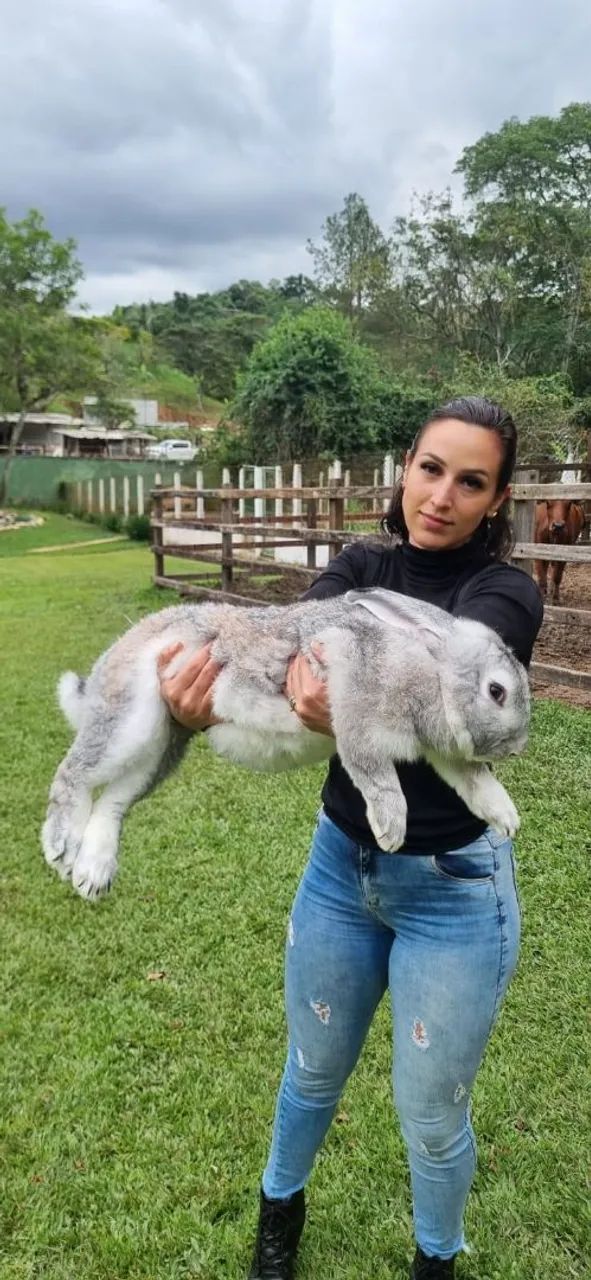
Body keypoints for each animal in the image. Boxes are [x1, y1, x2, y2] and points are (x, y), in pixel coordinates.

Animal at [42, 588, 530, 901]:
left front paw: (506, 818)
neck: (432, 673)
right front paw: (391, 830)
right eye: (497, 691)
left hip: (163, 742)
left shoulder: (442, 753)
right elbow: (374, 774)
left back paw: (91, 873)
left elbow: (472, 779)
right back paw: (60, 848)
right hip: (130, 719)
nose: (516, 747)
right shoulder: (356, 716)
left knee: (114, 799)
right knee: (73, 774)